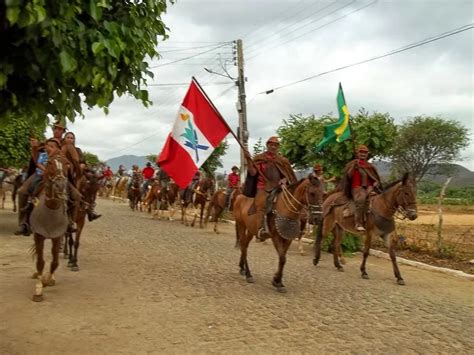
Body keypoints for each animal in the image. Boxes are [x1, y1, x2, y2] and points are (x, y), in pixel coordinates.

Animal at [29, 156, 70, 304]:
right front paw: (38, 289)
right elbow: (40, 262)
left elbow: (55, 262)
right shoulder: (38, 236)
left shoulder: (57, 237)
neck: (51, 208)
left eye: (67, 164)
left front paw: (47, 280)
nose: (60, 186)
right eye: (49, 164)